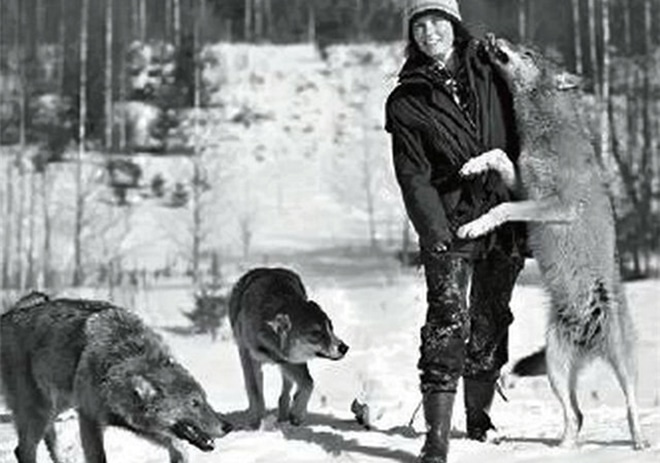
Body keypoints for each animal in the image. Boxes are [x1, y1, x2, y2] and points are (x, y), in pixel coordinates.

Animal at [0, 291, 232, 463]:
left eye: (205, 400)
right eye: (194, 403)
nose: (228, 426)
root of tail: (9, 315)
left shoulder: (139, 425)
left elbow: (179, 447)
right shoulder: (89, 418)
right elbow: (98, 457)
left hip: (57, 406)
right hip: (40, 411)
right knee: (23, 450)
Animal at [229, 267, 349, 428]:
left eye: (331, 327)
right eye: (316, 333)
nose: (344, 348)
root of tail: (270, 268)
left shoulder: (291, 360)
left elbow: (308, 383)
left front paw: (297, 414)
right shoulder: (247, 357)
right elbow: (254, 392)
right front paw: (256, 423)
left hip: (290, 365)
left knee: (287, 391)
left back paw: (284, 416)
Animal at [456, 36, 647, 449]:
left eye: (527, 53)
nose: (494, 38)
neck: (545, 133)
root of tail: (587, 337)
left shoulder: (553, 204)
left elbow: (503, 207)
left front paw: (474, 227)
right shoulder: (522, 183)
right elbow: (497, 156)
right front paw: (473, 166)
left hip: (622, 364)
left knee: (630, 404)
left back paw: (639, 441)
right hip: (558, 367)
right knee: (575, 415)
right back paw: (563, 447)